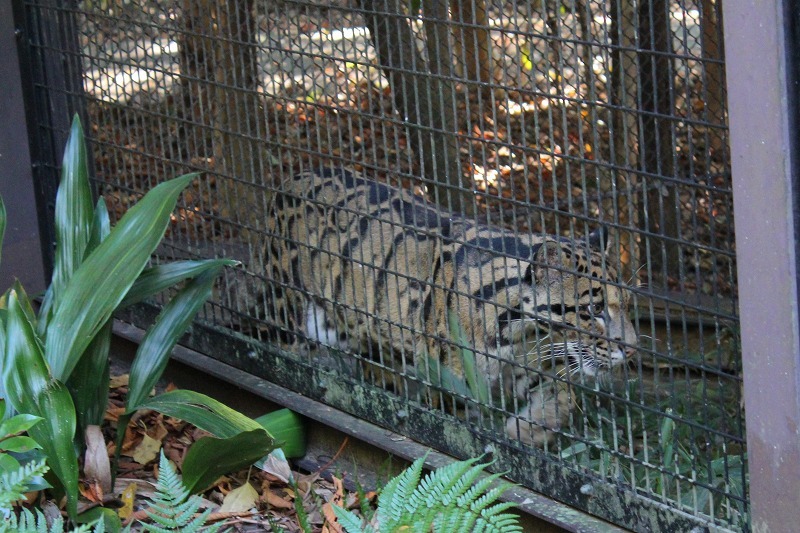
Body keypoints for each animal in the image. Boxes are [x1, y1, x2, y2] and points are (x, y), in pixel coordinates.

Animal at [264, 167, 636, 444]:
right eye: (593, 311)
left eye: (627, 304)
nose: (632, 349)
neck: (518, 330)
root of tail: (292, 177)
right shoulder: (451, 386)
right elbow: (460, 439)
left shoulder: (531, 367)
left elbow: (560, 404)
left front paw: (522, 432)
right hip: (288, 313)